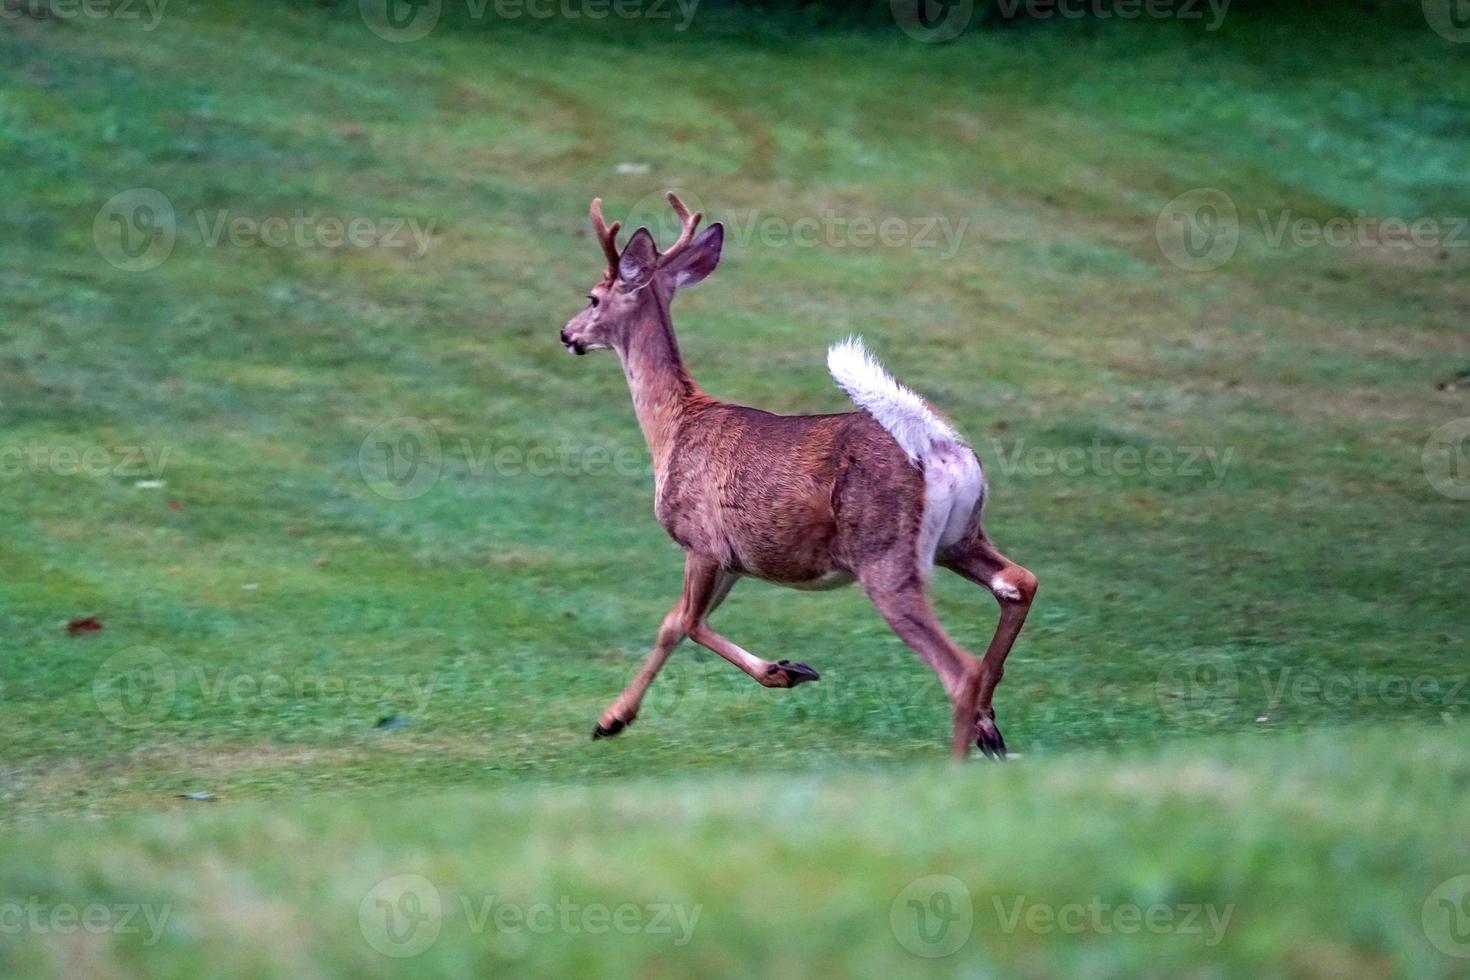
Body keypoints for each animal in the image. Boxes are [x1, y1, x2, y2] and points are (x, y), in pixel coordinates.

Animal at [555, 191, 1040, 758]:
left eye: (592, 297)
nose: (567, 334)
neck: (673, 428)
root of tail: (936, 445)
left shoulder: (703, 541)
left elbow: (687, 622)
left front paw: (787, 670)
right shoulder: (735, 559)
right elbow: (673, 624)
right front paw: (611, 720)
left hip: (884, 555)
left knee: (958, 669)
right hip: (960, 538)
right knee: (1018, 583)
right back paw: (990, 726)